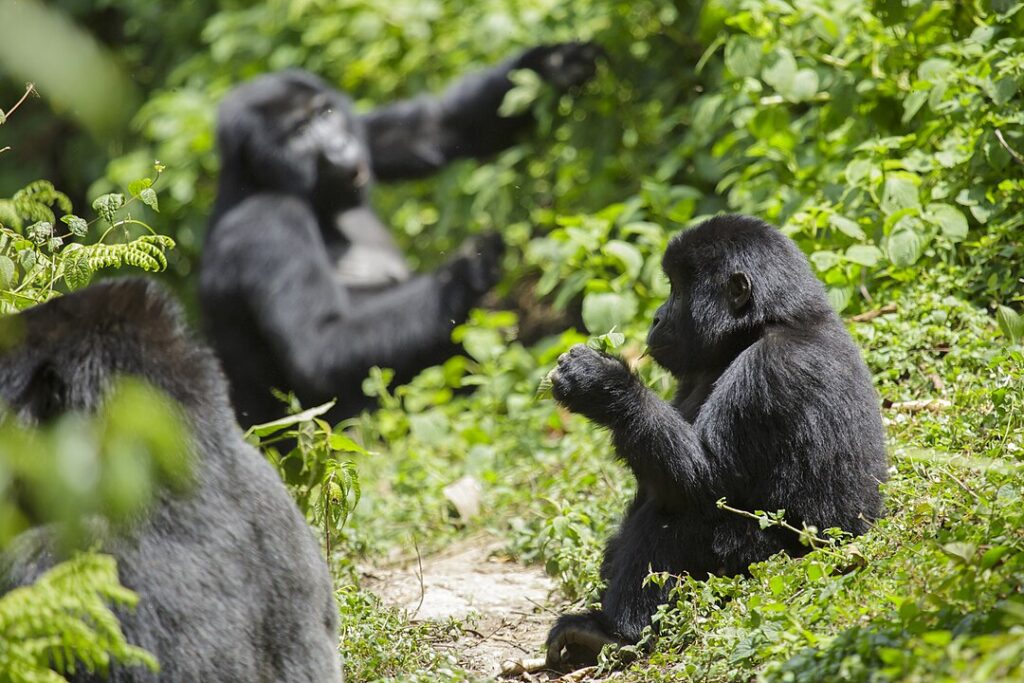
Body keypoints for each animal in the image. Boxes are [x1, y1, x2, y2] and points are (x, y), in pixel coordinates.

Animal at [198, 42, 598, 423]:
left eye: (325, 114)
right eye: (299, 133)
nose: (339, 147)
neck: (258, 178)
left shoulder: (364, 130)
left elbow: (438, 127)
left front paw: (554, 65)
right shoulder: (266, 222)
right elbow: (319, 347)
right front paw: (466, 271)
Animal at [544, 216, 888, 671]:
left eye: (677, 290)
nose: (655, 318)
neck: (766, 323)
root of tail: (860, 535)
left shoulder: (770, 368)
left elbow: (703, 484)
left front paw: (602, 386)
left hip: (776, 562)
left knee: (679, 516)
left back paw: (615, 635)